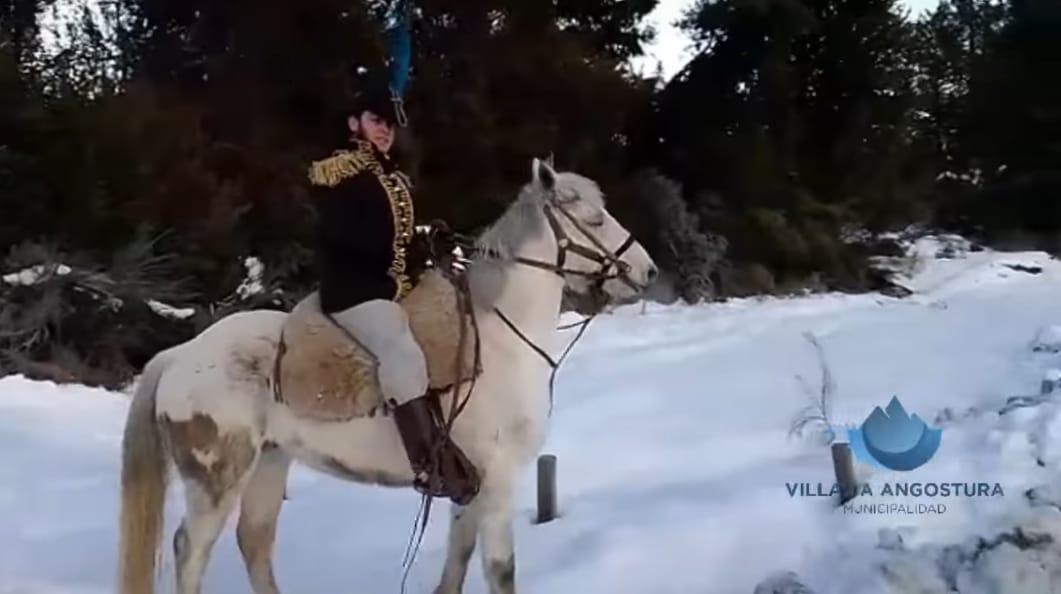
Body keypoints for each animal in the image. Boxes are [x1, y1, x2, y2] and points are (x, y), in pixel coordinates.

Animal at [120, 158, 657, 594]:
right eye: (594, 219)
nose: (648, 271)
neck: (500, 335)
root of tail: (181, 356)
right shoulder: (499, 479)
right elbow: (501, 570)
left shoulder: (471, 485)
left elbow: (457, 562)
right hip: (216, 482)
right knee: (190, 551)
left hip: (270, 463)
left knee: (253, 540)